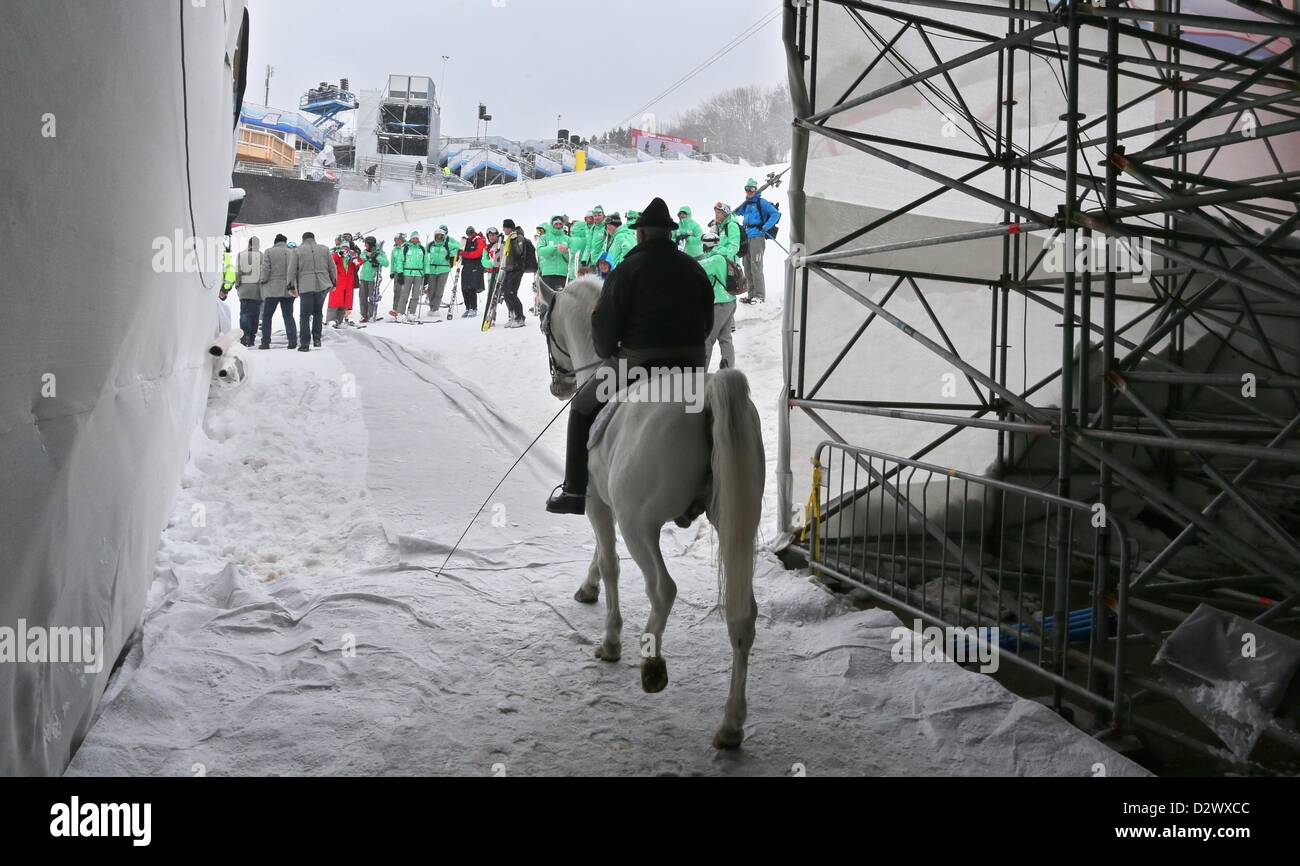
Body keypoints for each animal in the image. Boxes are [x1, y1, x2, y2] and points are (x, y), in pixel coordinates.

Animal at [535, 273, 759, 743]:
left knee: (663, 589)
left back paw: (650, 662)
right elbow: (600, 557)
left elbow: (609, 562)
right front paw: (588, 588)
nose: (558, 386)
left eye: (547, 328)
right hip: (733, 521)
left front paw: (610, 639)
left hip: (639, 525)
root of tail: (708, 395)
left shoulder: (598, 503)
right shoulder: (606, 502)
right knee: (742, 616)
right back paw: (730, 724)